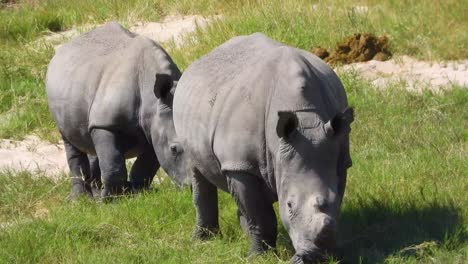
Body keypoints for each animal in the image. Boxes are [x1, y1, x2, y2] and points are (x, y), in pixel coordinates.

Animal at [46, 22, 188, 199]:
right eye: (174, 149)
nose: (191, 188)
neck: (153, 99)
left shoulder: (154, 127)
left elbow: (144, 166)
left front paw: (138, 193)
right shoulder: (105, 123)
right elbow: (113, 163)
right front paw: (111, 200)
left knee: (91, 143)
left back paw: (95, 193)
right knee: (71, 141)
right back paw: (80, 199)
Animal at [174, 33, 352, 264]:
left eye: (334, 200)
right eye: (289, 206)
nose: (315, 257)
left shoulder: (340, 158)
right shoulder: (240, 164)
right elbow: (260, 214)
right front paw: (259, 256)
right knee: (198, 173)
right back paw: (202, 241)